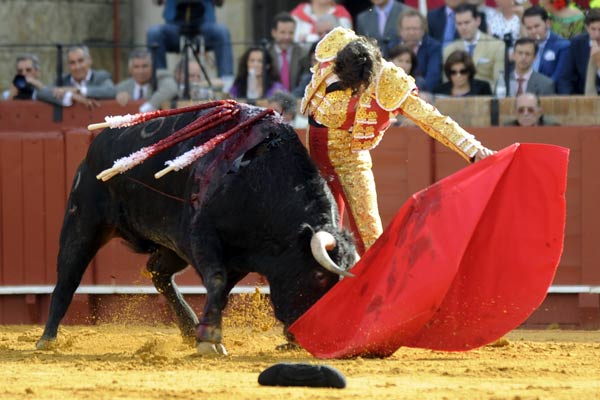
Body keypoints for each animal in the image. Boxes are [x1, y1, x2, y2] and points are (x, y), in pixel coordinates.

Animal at [36, 101, 356, 354]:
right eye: (319, 276)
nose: (304, 336)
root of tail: (98, 143)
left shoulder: (234, 257)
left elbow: (222, 290)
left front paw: (205, 333)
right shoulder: (200, 238)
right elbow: (216, 280)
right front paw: (210, 340)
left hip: (169, 245)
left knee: (158, 273)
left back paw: (189, 328)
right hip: (84, 220)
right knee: (68, 275)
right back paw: (47, 339)